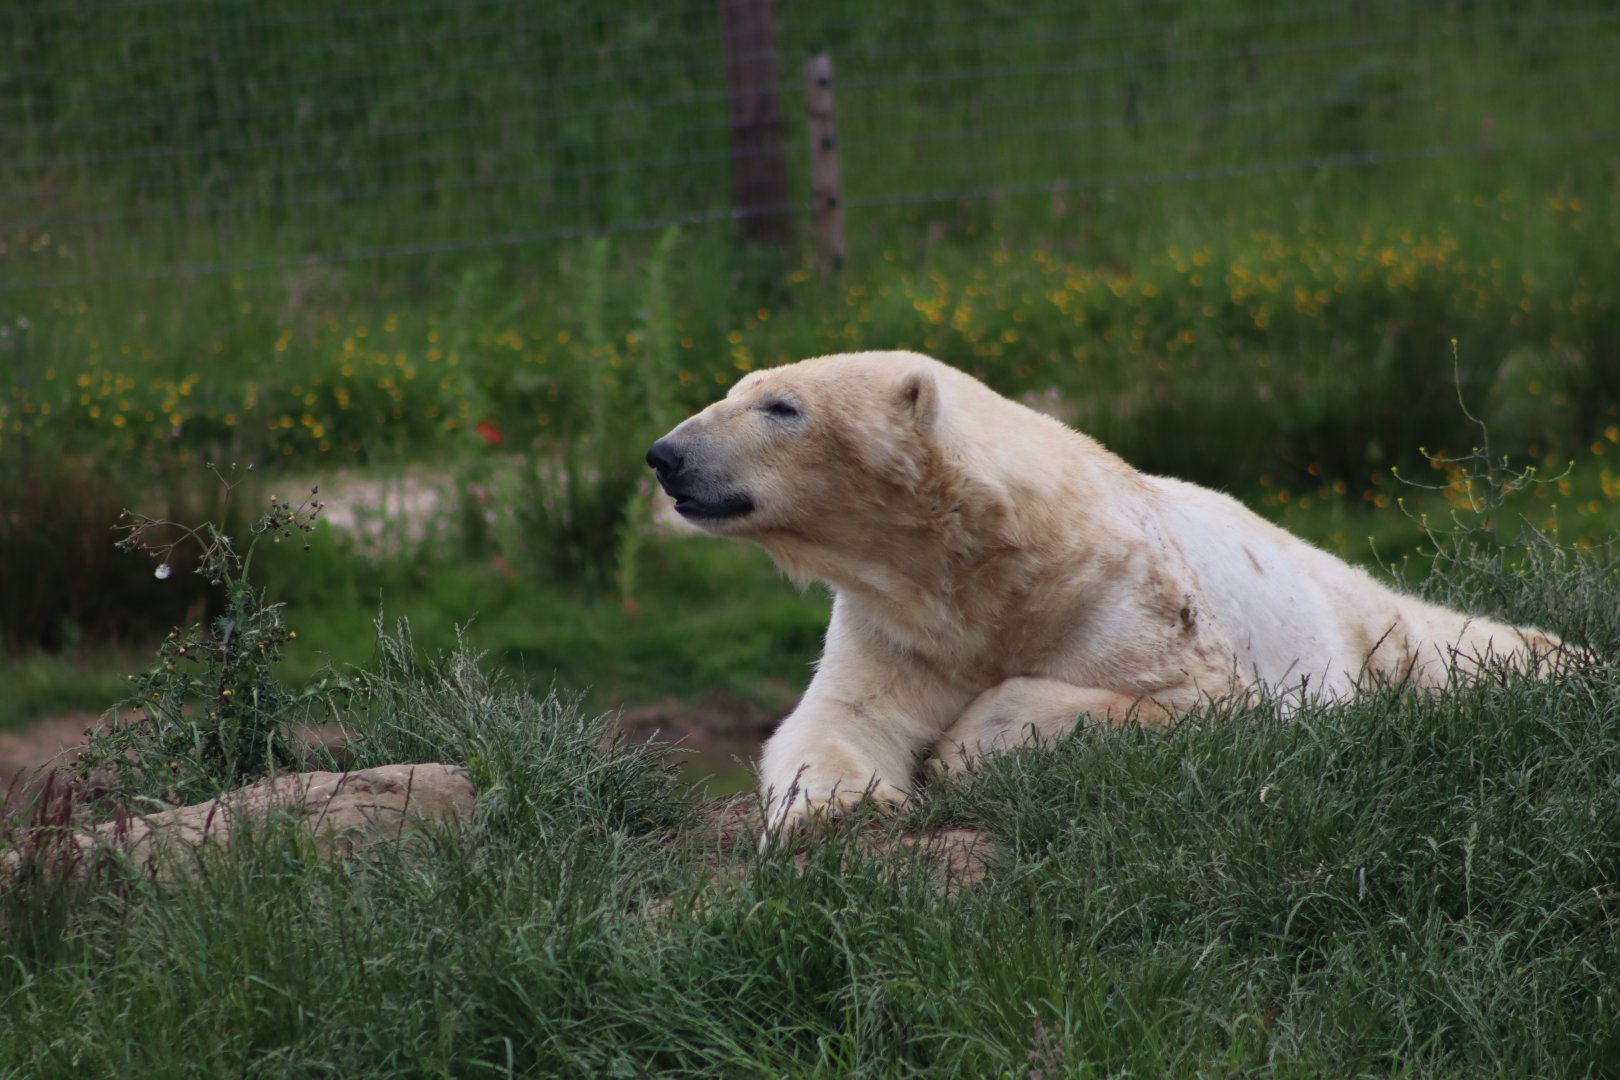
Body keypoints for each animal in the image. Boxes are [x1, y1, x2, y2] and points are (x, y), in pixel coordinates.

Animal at [645, 350, 1565, 833]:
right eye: (732, 390)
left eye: (781, 406)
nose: (666, 455)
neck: (992, 565)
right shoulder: (896, 623)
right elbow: (841, 717)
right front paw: (838, 812)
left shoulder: (1130, 597)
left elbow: (1185, 700)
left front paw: (957, 748)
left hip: (1365, 622)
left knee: (1457, 647)